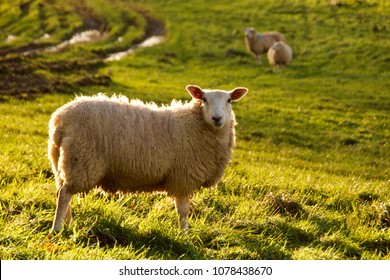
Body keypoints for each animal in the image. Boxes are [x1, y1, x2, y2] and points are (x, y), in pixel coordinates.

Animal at [48, 86, 248, 234]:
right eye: (204, 99)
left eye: (229, 100)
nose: (217, 118)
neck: (195, 124)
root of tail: (60, 119)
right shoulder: (183, 177)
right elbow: (183, 210)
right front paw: (184, 235)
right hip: (81, 160)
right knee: (65, 194)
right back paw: (57, 229)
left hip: (62, 162)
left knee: (61, 192)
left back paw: (69, 224)